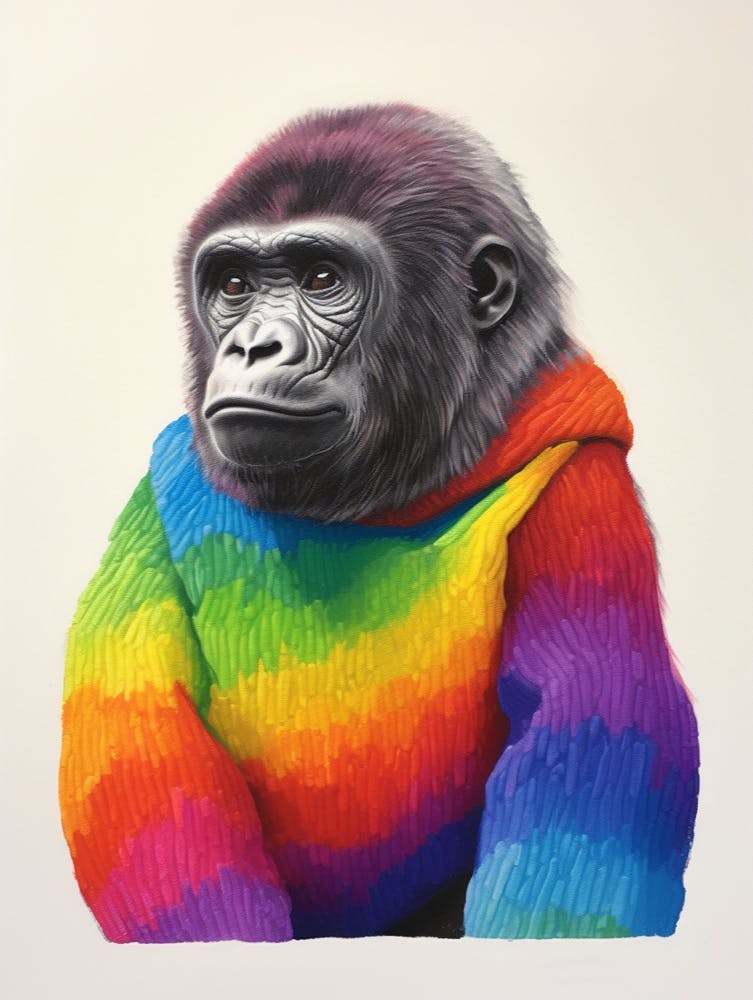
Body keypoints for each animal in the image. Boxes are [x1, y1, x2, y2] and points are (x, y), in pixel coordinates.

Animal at [59, 104, 698, 942]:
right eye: (232, 285)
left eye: (321, 278)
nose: (251, 345)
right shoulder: (161, 491)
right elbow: (138, 744)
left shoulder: (585, 485)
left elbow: (593, 747)